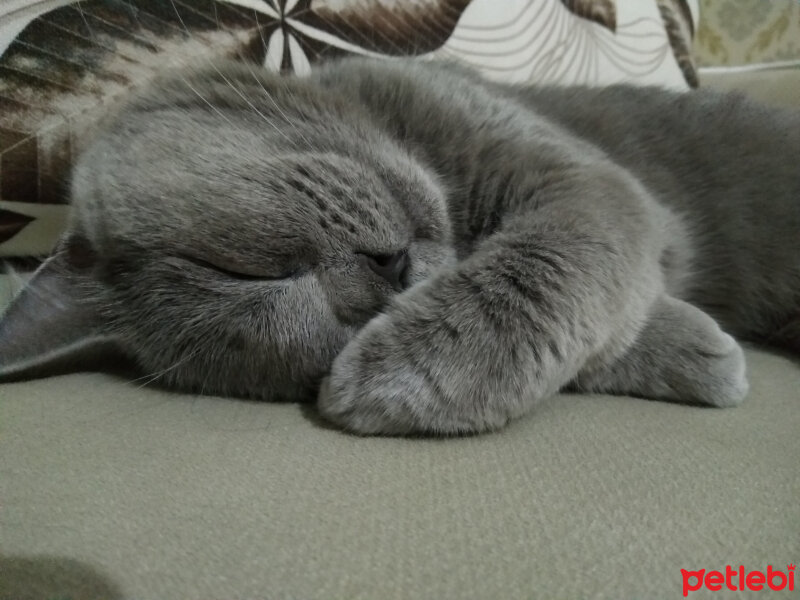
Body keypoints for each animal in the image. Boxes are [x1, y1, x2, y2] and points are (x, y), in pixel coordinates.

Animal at [1, 58, 800, 434]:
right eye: (271, 282)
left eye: (236, 270)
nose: (389, 273)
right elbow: (593, 325)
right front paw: (703, 355)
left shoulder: (585, 180)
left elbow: (554, 259)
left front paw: (406, 372)